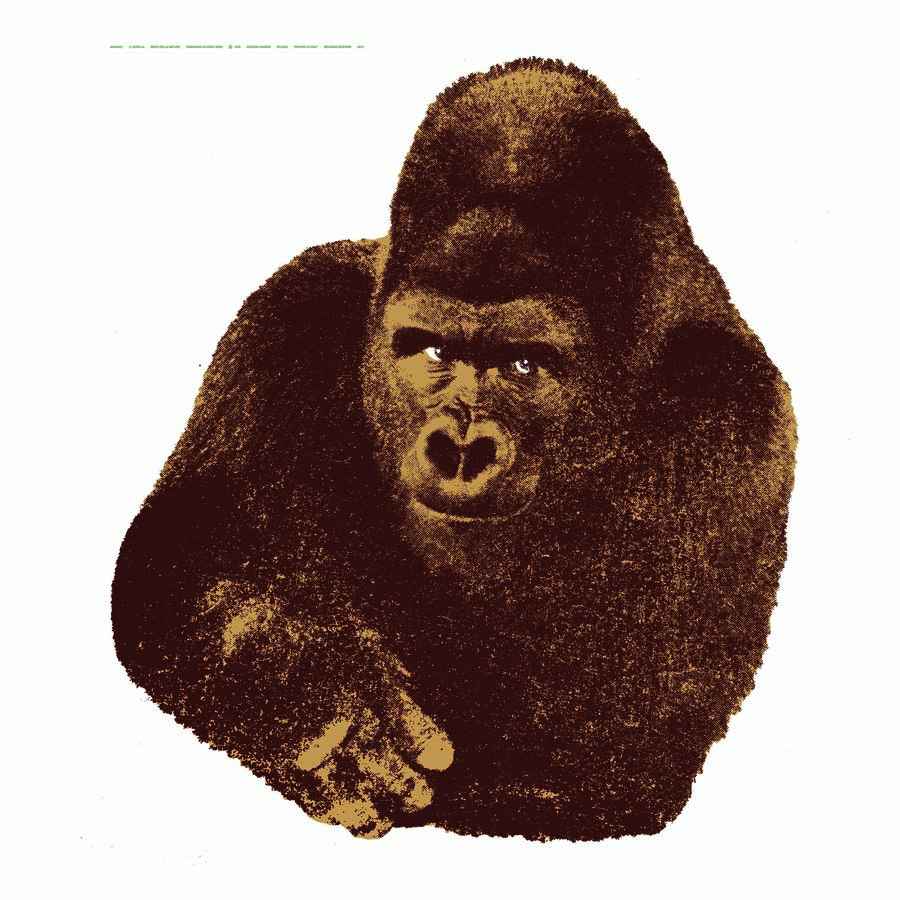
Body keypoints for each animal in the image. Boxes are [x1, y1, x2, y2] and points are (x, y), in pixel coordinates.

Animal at [113, 58, 796, 841]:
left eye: (526, 365)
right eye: (432, 351)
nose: (460, 449)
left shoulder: (738, 423)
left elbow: (594, 758)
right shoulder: (288, 308)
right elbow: (174, 556)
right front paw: (297, 676)